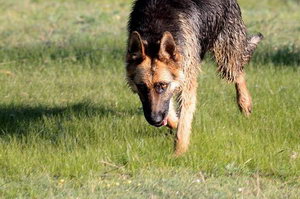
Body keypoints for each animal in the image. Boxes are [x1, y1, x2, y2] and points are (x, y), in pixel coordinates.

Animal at [125, 0, 264, 155]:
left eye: (162, 85)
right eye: (141, 87)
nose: (155, 120)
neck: (154, 33)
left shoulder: (187, 82)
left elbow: (183, 122)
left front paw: (178, 153)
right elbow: (172, 114)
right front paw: (174, 125)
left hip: (226, 55)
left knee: (238, 72)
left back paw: (244, 102)